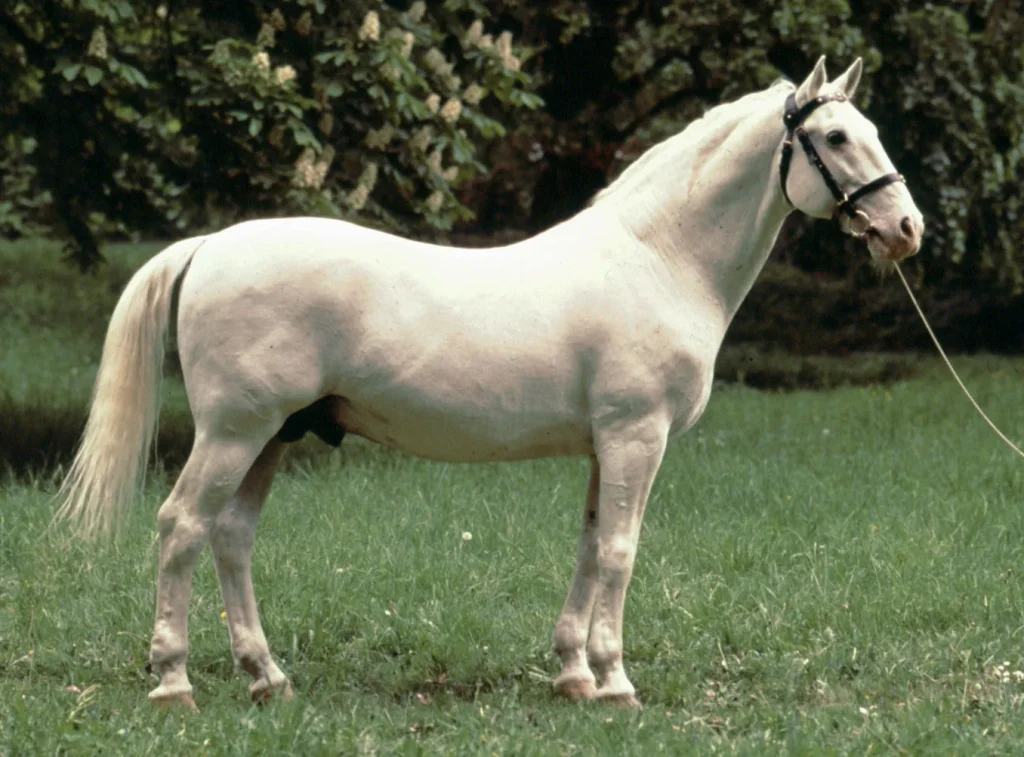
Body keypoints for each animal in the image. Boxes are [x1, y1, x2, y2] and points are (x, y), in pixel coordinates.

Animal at [58, 57, 929, 708]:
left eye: (873, 132)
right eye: (835, 136)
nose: (907, 230)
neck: (658, 258)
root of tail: (211, 244)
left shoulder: (604, 447)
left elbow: (589, 547)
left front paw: (574, 673)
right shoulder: (636, 436)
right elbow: (621, 552)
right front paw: (616, 680)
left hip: (274, 433)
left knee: (231, 536)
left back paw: (267, 676)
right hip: (236, 432)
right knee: (181, 527)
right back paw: (173, 681)